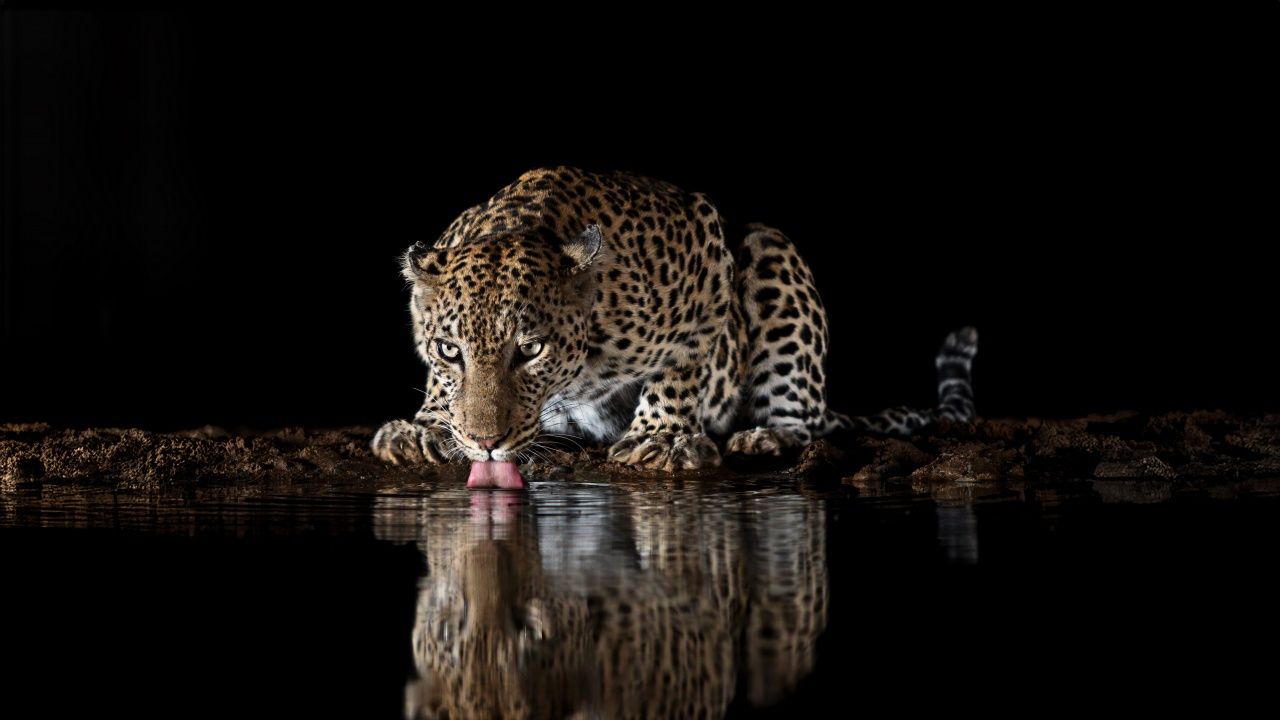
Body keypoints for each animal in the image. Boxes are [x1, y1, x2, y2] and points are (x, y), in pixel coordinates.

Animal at [371, 166, 978, 487]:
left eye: (531, 350)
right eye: (450, 350)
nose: (485, 443)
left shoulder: (705, 251)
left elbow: (684, 359)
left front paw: (658, 437)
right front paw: (427, 426)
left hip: (770, 250)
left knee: (802, 420)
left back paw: (766, 437)